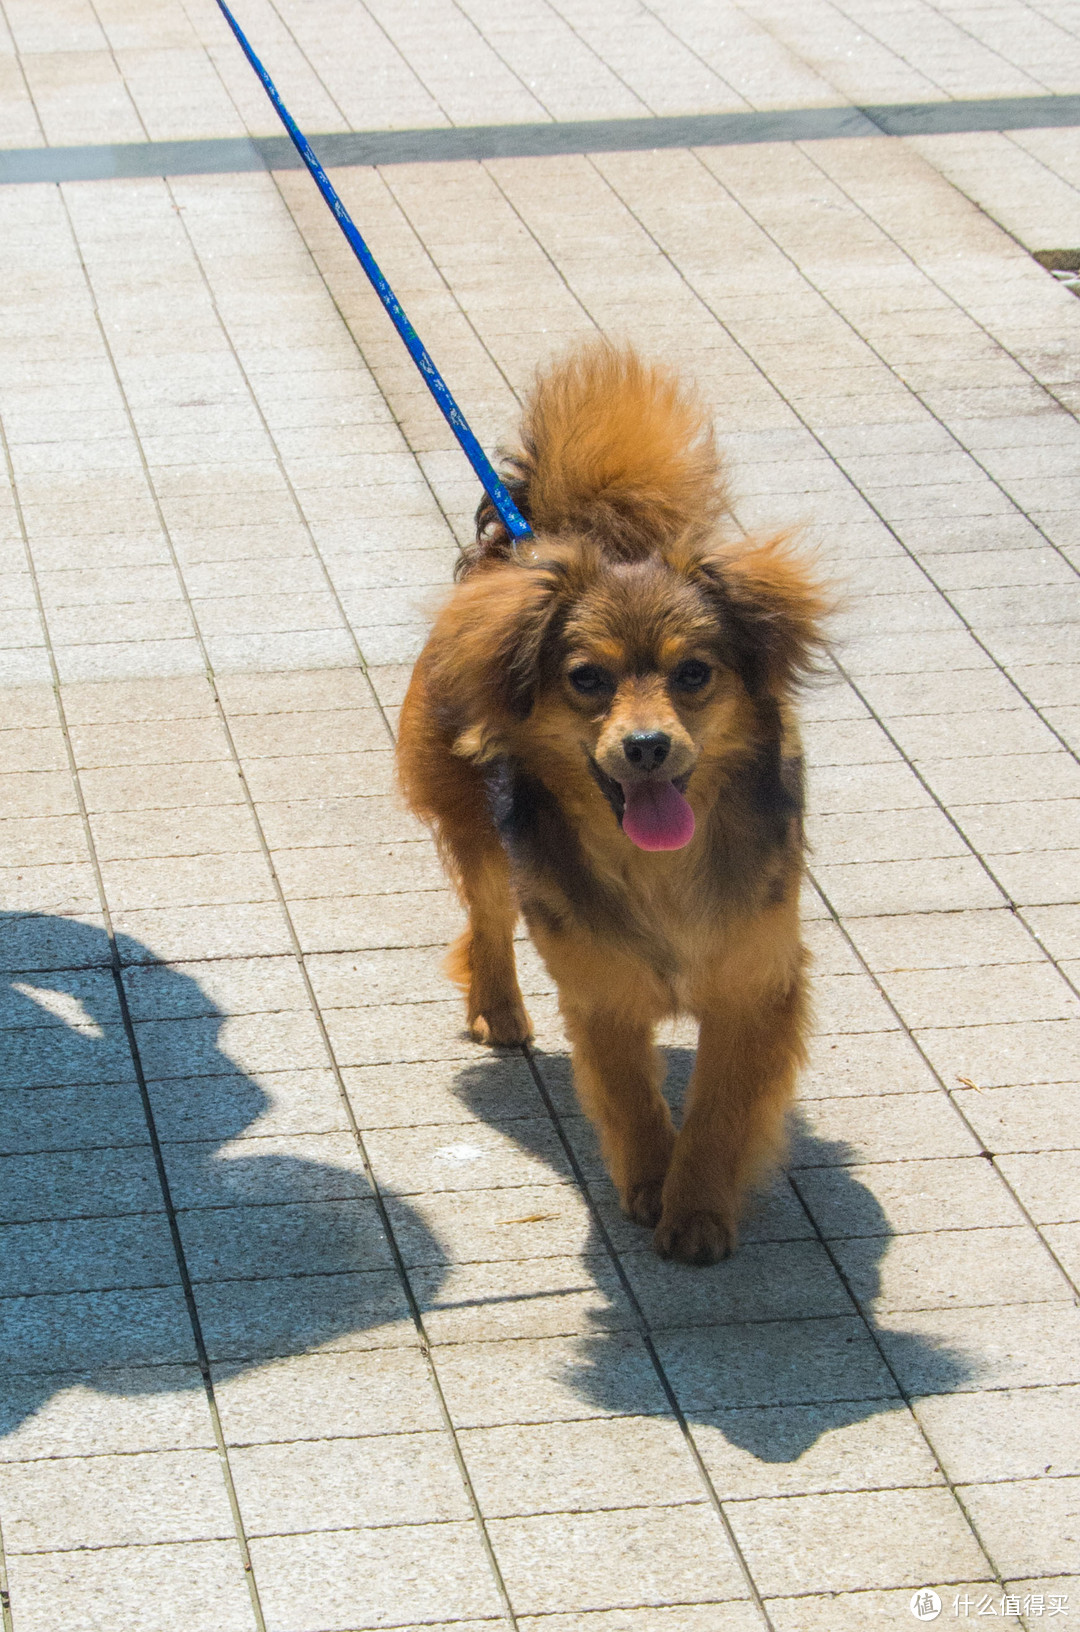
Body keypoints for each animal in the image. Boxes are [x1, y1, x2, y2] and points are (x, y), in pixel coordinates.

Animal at [398, 341, 828, 1259]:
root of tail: (519, 551)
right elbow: (630, 1098)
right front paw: (650, 1186)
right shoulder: (602, 993)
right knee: (488, 916)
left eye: (693, 674)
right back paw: (498, 1007)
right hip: (480, 832)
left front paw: (696, 1210)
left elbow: (719, 1108)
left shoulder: (755, 986)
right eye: (587, 680)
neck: (657, 870)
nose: (646, 747)